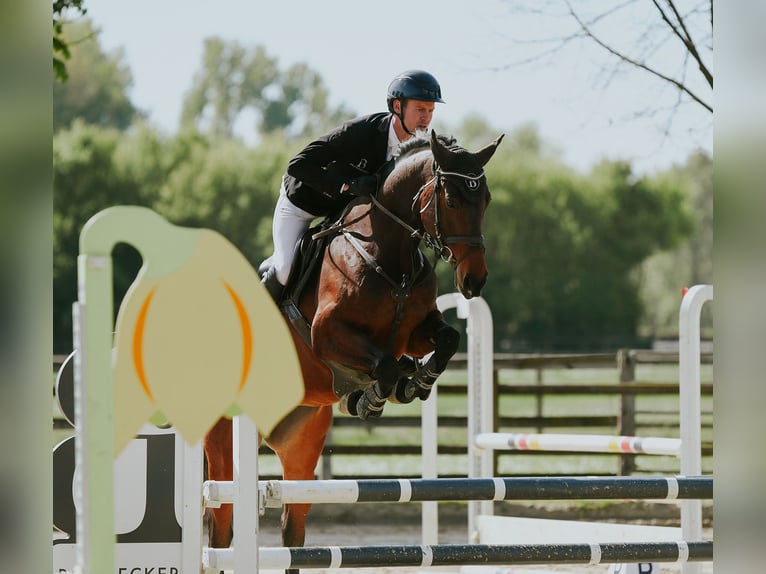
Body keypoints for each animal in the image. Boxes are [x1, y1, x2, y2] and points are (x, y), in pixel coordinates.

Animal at [203, 130, 504, 572]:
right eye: (451, 201)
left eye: (485, 200)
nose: (474, 281)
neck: (388, 255)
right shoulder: (327, 333)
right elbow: (386, 366)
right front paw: (372, 398)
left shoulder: (415, 333)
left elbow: (445, 341)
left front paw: (416, 383)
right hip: (223, 440)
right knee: (221, 524)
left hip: (301, 444)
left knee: (292, 530)